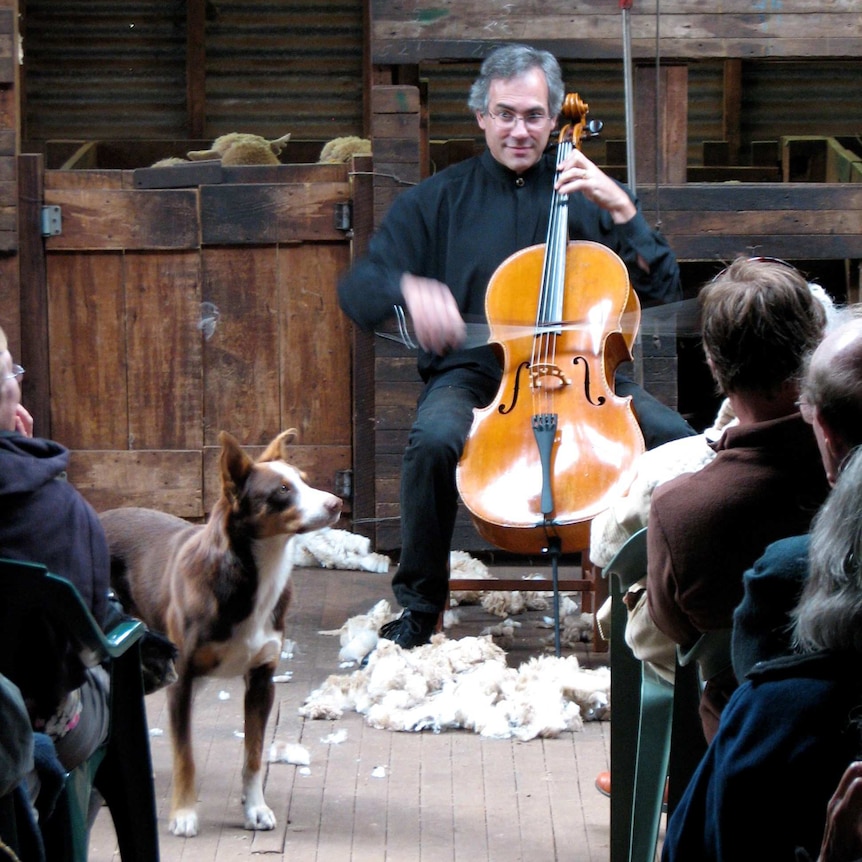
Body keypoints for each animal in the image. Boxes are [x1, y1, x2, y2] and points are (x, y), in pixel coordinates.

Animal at [99, 430, 342, 836]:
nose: (337, 503)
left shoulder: (261, 680)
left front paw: (255, 808)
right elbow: (186, 756)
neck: (254, 576)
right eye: (282, 490)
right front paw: (183, 813)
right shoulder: (182, 681)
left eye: (305, 479)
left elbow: (254, 756)